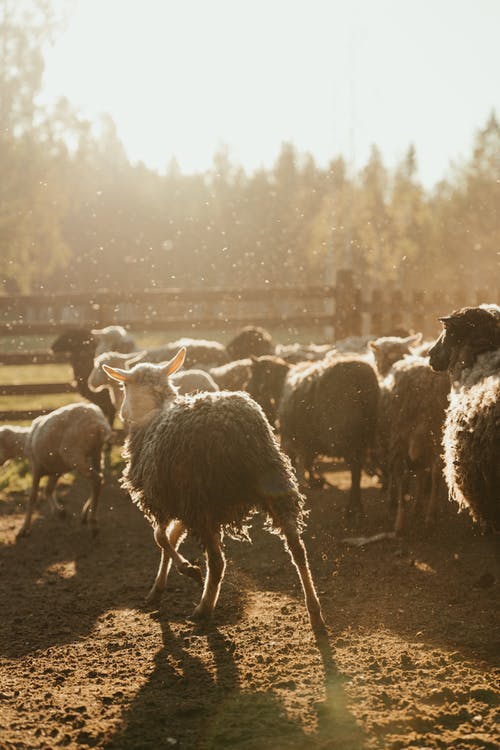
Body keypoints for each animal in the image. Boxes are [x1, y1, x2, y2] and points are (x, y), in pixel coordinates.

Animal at [0, 406, 112, 540]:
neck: (25, 440)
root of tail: (98, 424)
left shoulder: (36, 467)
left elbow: (33, 497)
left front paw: (24, 528)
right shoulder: (57, 470)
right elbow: (48, 489)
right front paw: (59, 512)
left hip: (74, 454)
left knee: (96, 480)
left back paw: (93, 524)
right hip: (96, 453)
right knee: (100, 480)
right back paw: (86, 514)